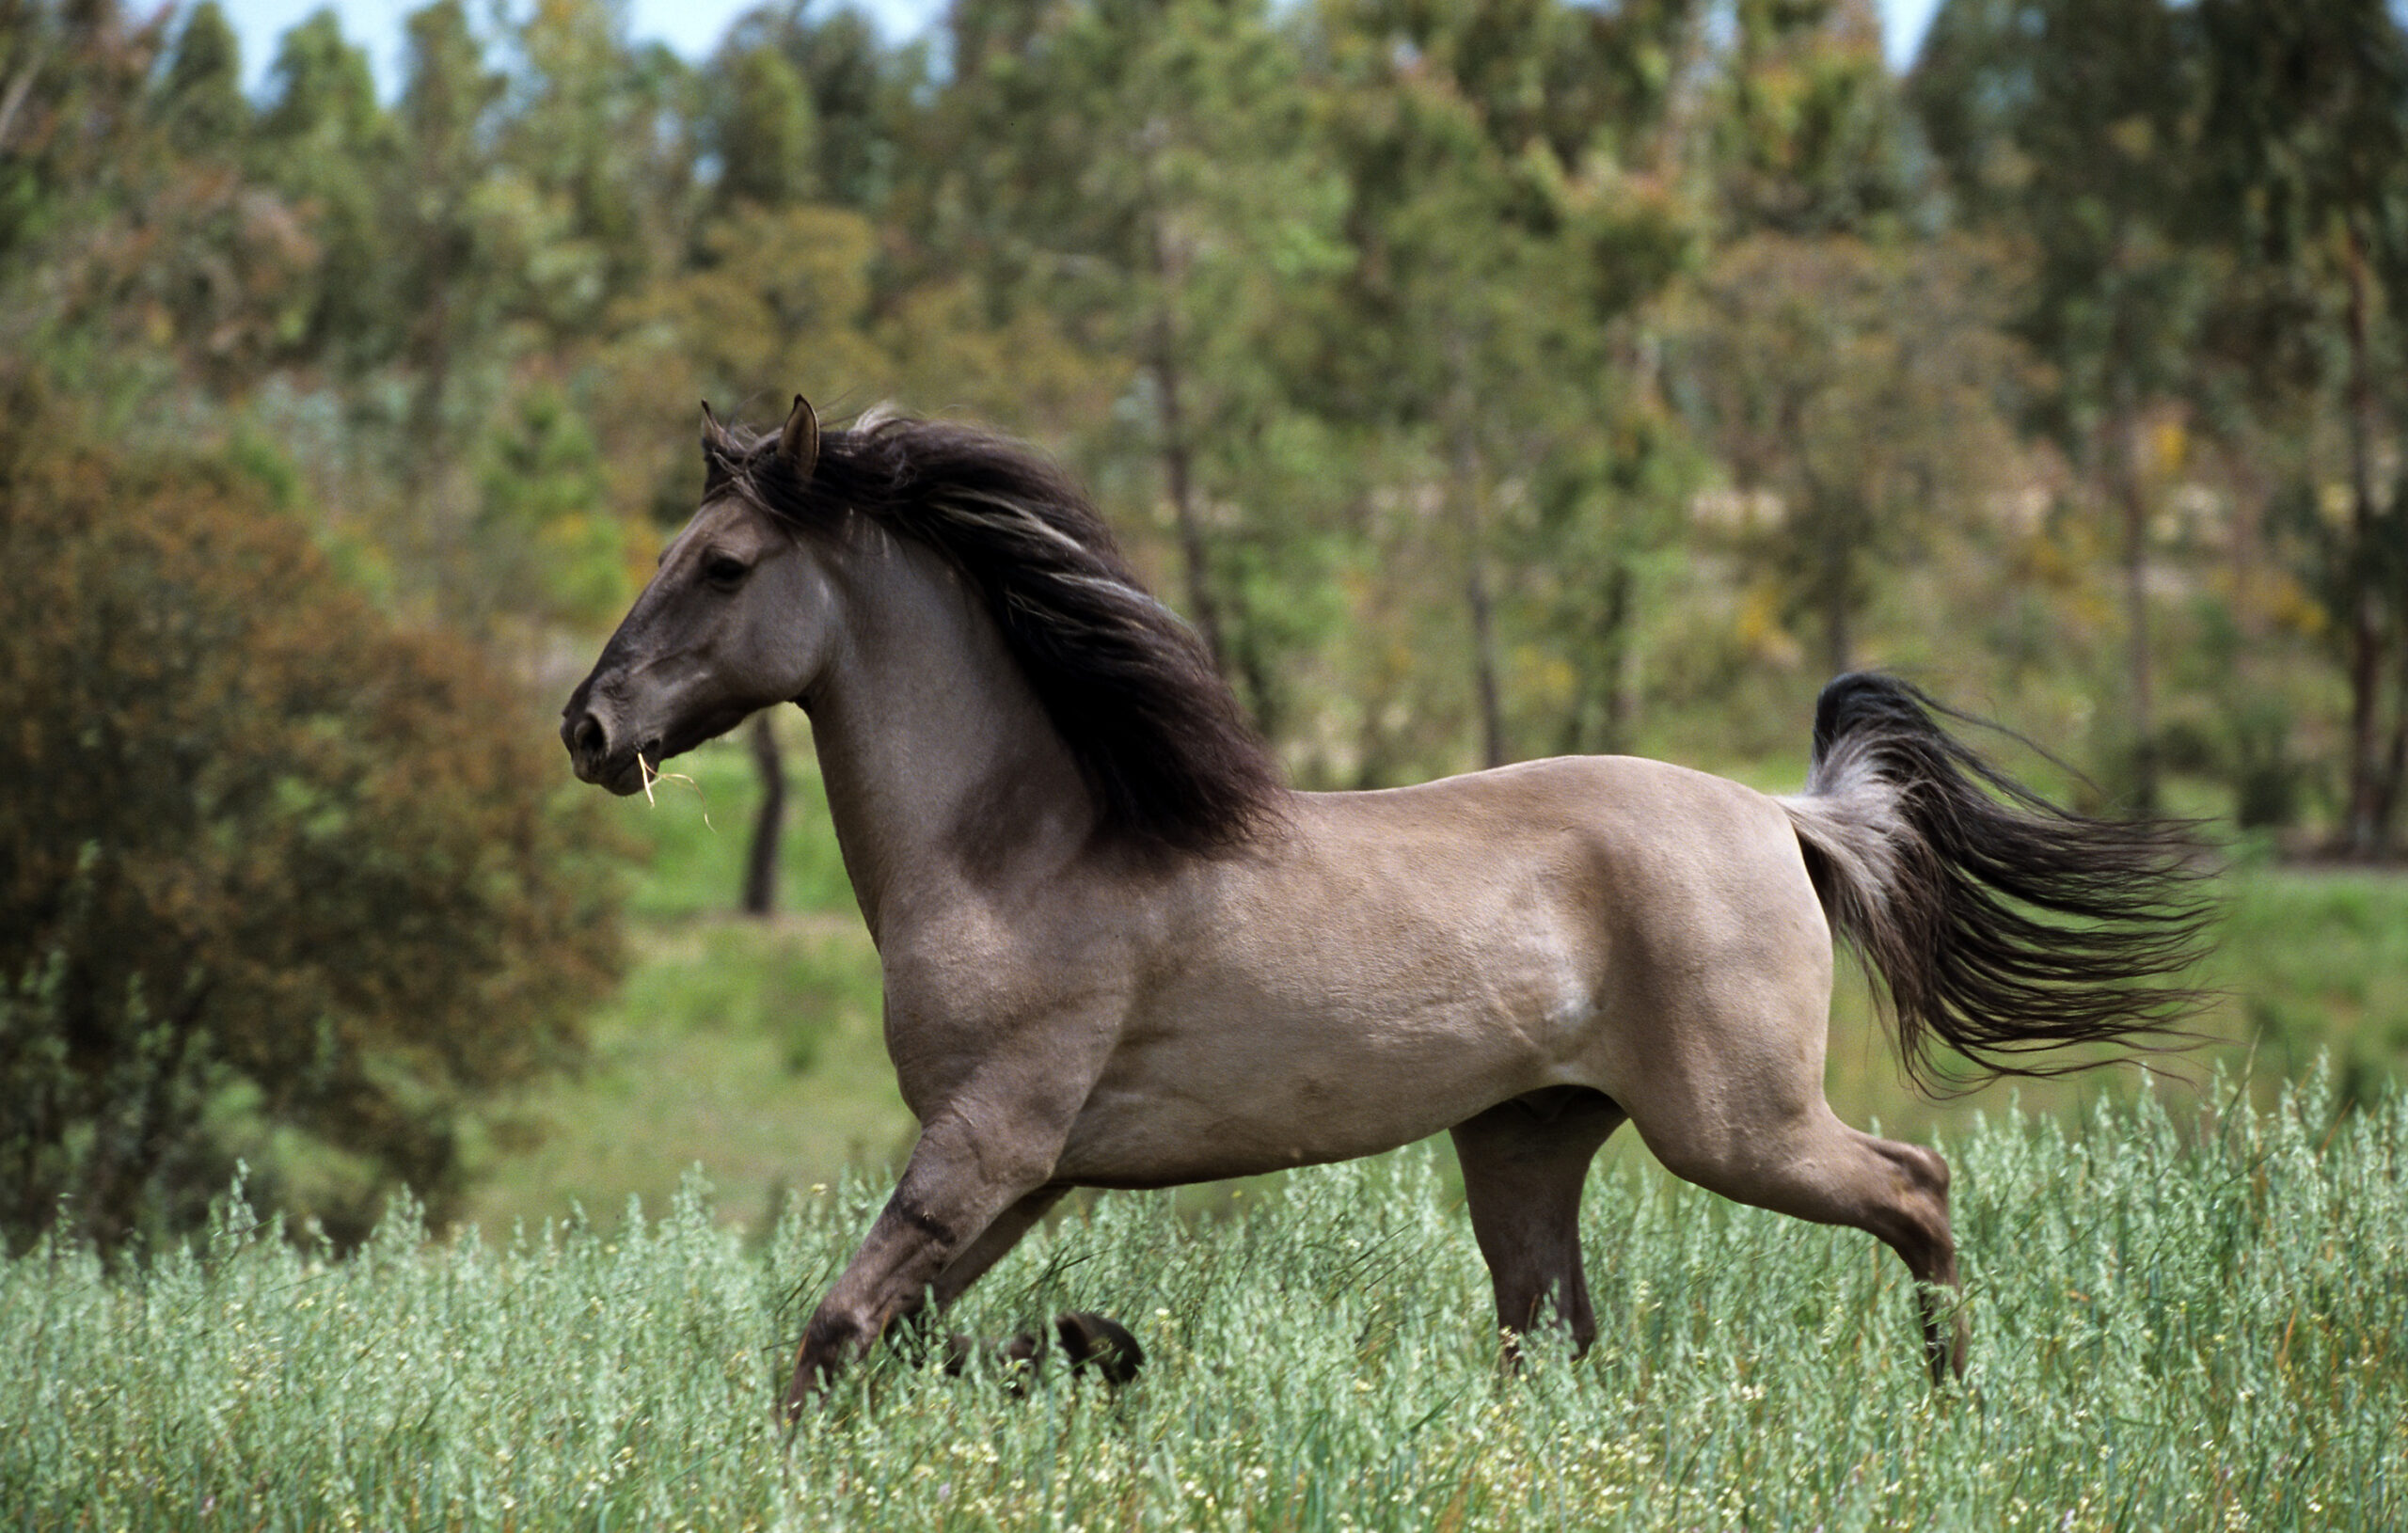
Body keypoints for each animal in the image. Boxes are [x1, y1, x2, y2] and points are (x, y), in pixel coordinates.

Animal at [563, 392, 2215, 1414]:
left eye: (723, 566)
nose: (586, 728)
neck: (1015, 853)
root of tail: (1783, 814)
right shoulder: (1017, 1175)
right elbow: (897, 1340)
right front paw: (1095, 1346)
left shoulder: (989, 1146)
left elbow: (837, 1330)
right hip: (1530, 1139)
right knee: (1554, 1336)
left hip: (1735, 1123)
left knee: (1915, 1187)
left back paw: (1954, 1405)